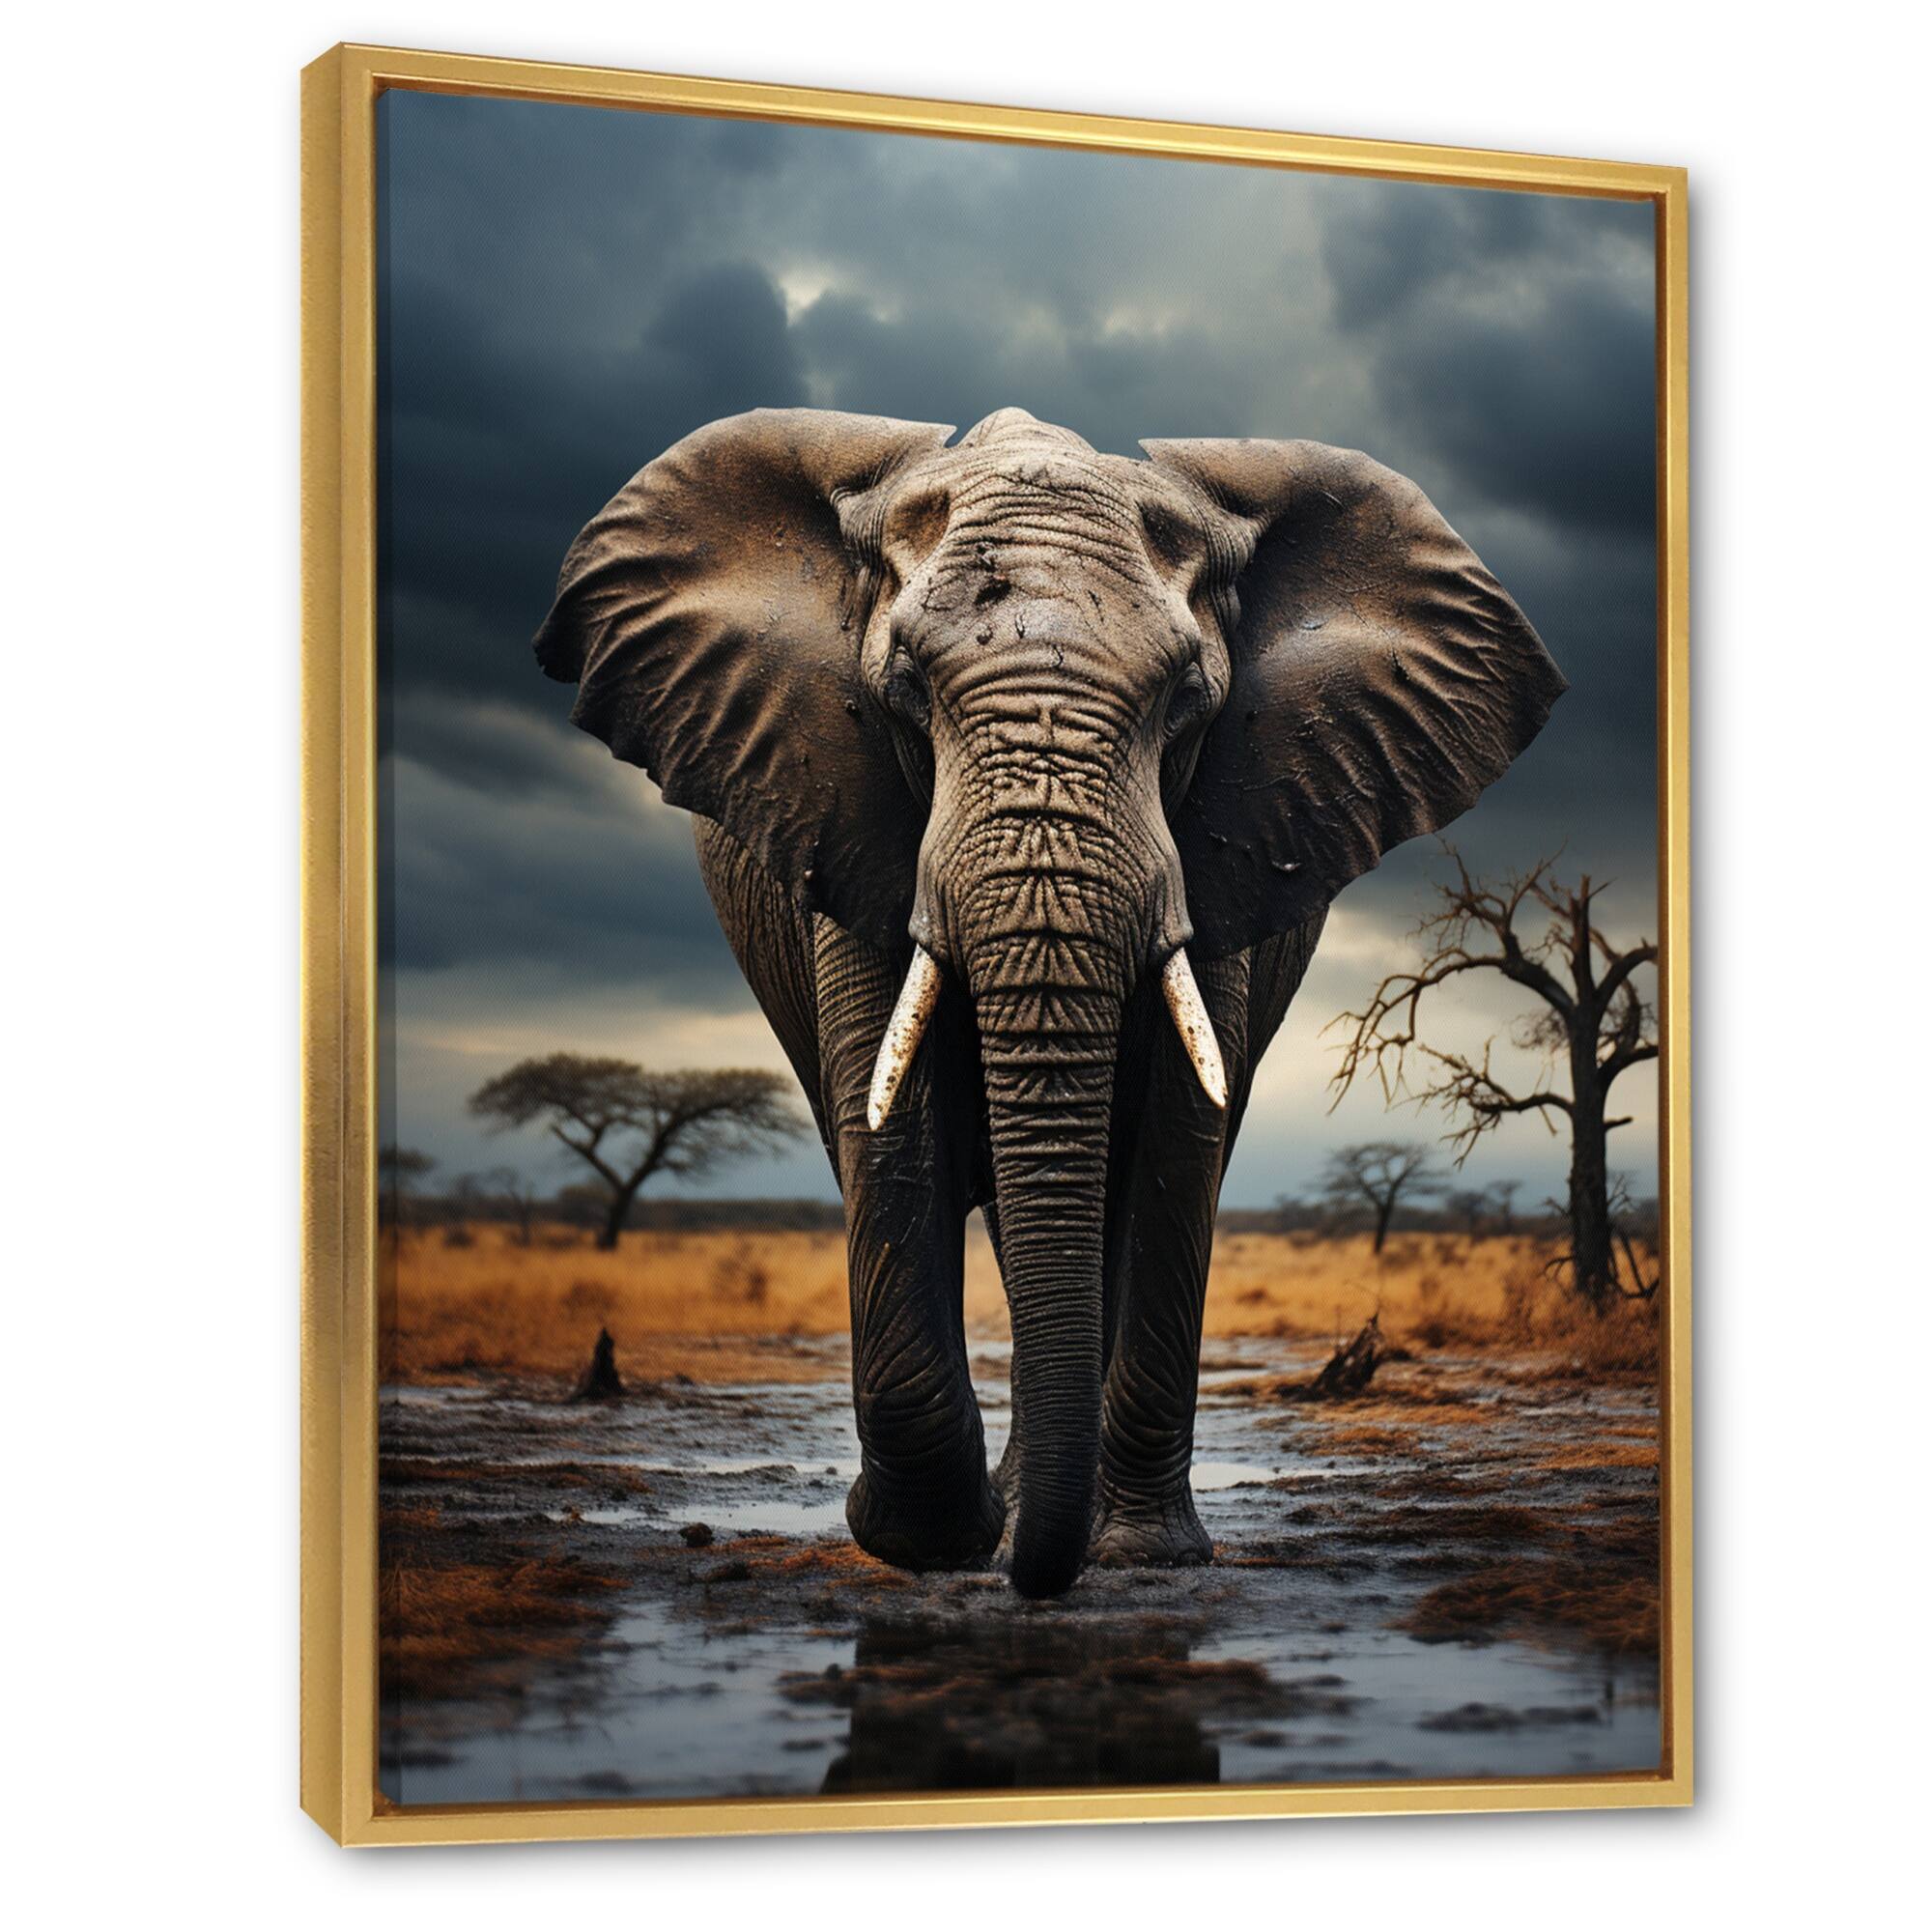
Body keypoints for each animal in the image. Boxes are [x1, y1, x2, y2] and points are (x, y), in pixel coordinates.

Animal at [533, 406, 1563, 1598]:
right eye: (902, 692)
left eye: (1186, 702)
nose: (1034, 1572)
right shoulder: (844, 814)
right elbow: (891, 1135)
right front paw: (933, 1537)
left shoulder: (1225, 846)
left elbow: (1175, 1143)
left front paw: (1133, 1555)